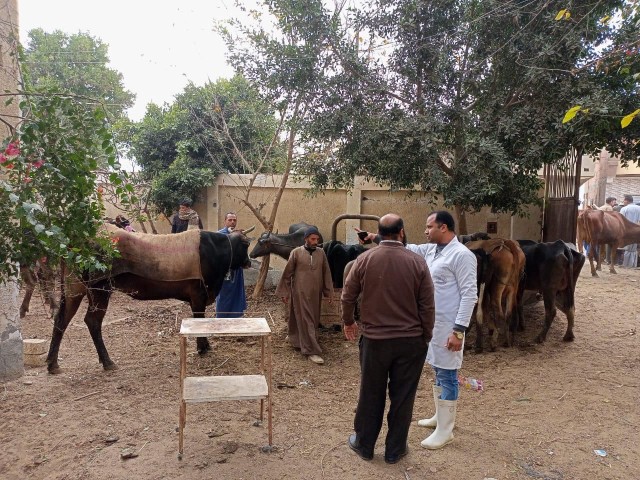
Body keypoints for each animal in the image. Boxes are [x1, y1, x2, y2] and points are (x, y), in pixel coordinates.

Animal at [46, 226, 252, 376]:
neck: (217, 251)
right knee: (92, 321)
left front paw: (205, 346)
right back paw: (107, 362)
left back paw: (52, 364)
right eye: (246, 245)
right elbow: (199, 321)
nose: (249, 262)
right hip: (100, 289)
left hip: (75, 289)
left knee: (62, 319)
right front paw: (203, 348)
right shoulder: (198, 295)